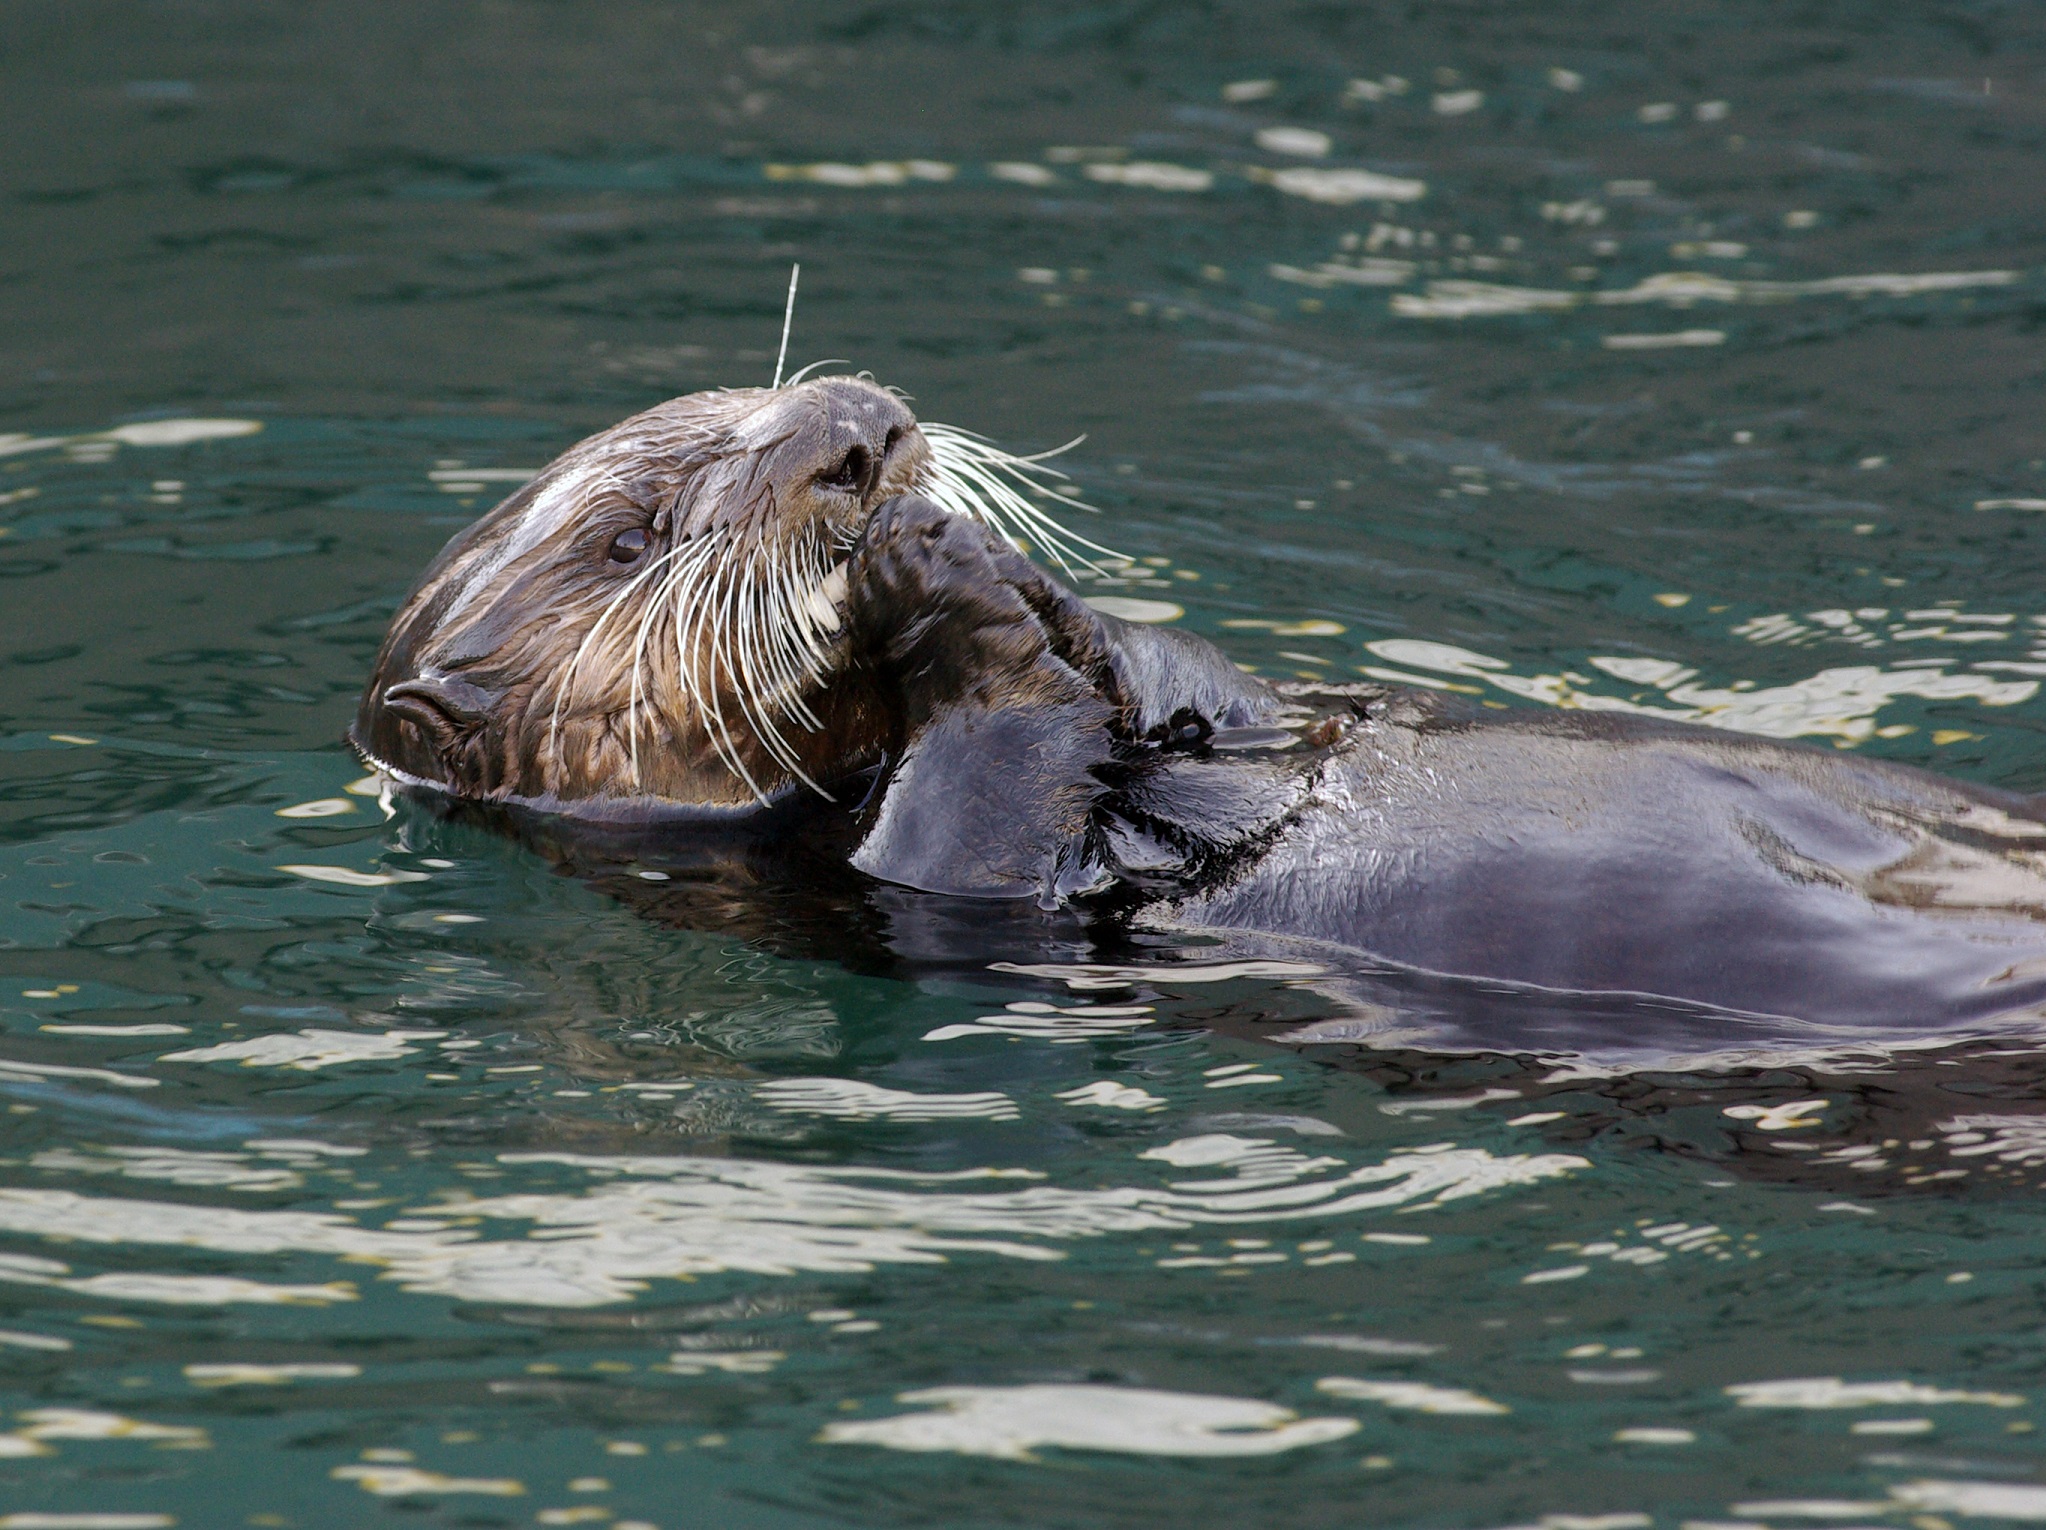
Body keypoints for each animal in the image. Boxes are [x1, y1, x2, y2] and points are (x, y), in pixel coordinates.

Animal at [355, 378, 2046, 1050]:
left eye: (748, 400)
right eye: (631, 536)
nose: (860, 431)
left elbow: (1212, 686)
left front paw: (1015, 571)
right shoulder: (894, 887)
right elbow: (973, 819)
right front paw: (935, 585)